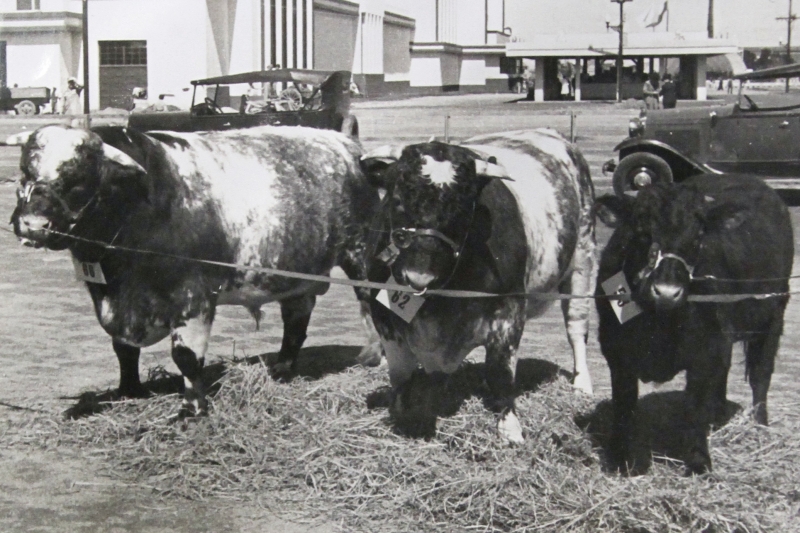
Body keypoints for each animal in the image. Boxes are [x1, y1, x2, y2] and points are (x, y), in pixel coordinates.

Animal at [9, 124, 382, 416]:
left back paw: (375, 357)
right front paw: (128, 391)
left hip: (362, 255)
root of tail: (348, 145)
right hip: (294, 271)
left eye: (77, 179)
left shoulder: (193, 295)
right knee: (296, 319)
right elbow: (124, 350)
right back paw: (282, 367)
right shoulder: (113, 296)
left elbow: (186, 356)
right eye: (25, 173)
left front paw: (192, 409)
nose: (32, 225)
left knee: (371, 304)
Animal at [360, 128, 596, 440]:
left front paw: (509, 428)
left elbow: (501, 370)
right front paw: (401, 413)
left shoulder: (510, 309)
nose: (418, 275)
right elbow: (400, 373)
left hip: (583, 257)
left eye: (462, 209)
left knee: (576, 328)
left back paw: (582, 385)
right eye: (396, 199)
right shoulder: (384, 317)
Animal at [596, 172, 792, 472]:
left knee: (761, 374)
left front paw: (699, 461)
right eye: (641, 230)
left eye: (698, 236)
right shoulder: (616, 351)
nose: (667, 291)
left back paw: (759, 426)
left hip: (773, 315)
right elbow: (623, 404)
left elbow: (696, 404)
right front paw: (618, 457)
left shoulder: (704, 351)